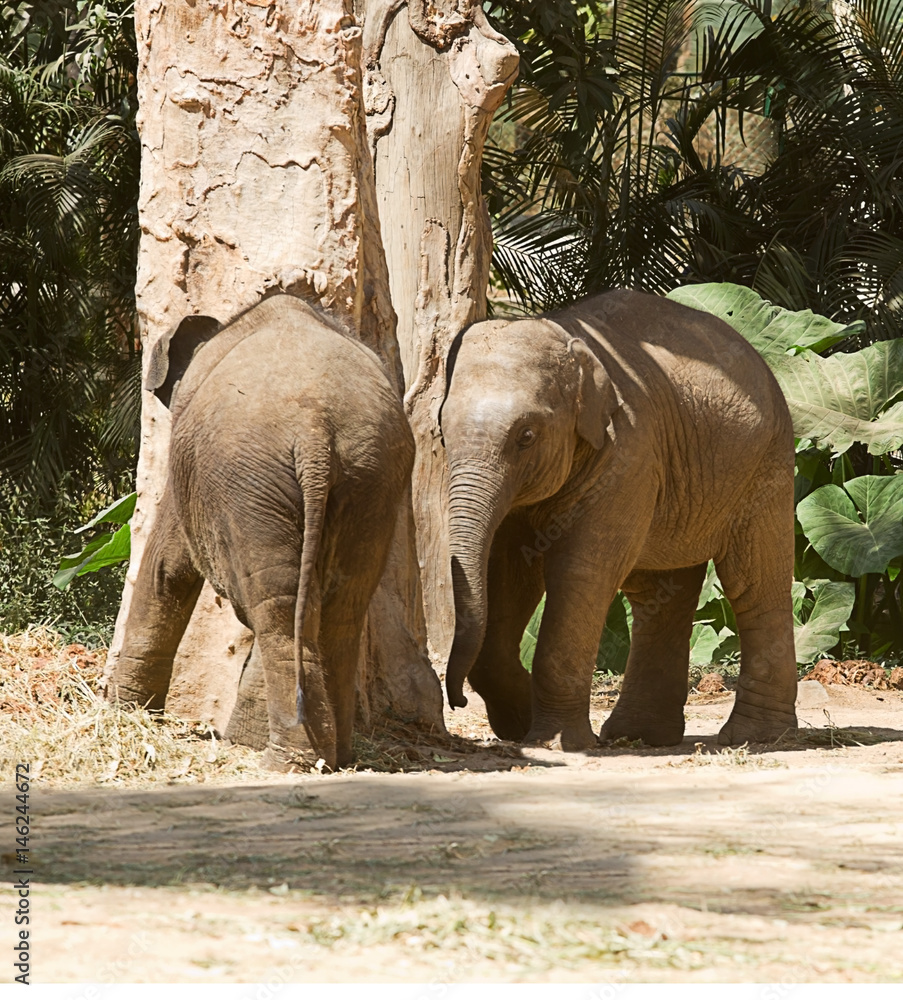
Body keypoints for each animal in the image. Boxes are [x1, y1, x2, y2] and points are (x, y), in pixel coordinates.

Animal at [107, 293, 415, 771]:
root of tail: (315, 427)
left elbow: (166, 567)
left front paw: (121, 715)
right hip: (372, 478)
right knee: (337, 604)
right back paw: (331, 756)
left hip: (251, 480)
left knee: (278, 607)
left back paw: (286, 759)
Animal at [440, 288, 797, 750]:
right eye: (442, 433)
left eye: (526, 436)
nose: (457, 702)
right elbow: (509, 568)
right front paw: (521, 723)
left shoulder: (628, 453)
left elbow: (581, 571)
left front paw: (553, 742)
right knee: (658, 593)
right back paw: (641, 736)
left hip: (765, 464)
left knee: (754, 583)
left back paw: (754, 738)